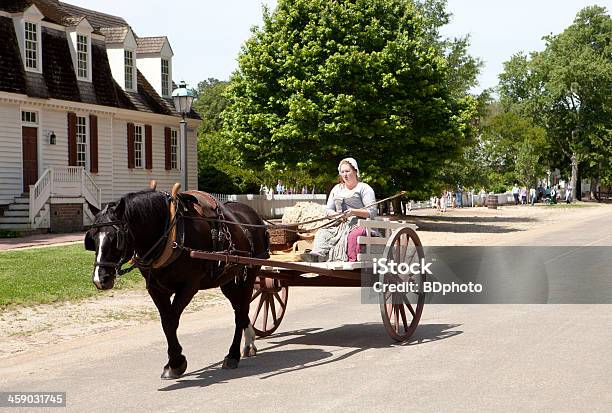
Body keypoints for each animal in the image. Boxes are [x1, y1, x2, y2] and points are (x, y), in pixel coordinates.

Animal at [83, 188, 268, 378]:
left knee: (241, 311)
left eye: (115, 238)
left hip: (249, 275)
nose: (100, 279)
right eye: (92, 239)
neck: (170, 234)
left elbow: (171, 321)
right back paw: (248, 342)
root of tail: (253, 215)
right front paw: (173, 362)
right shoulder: (155, 288)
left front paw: (176, 363)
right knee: (240, 309)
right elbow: (166, 322)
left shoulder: (189, 286)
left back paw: (233, 354)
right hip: (228, 280)